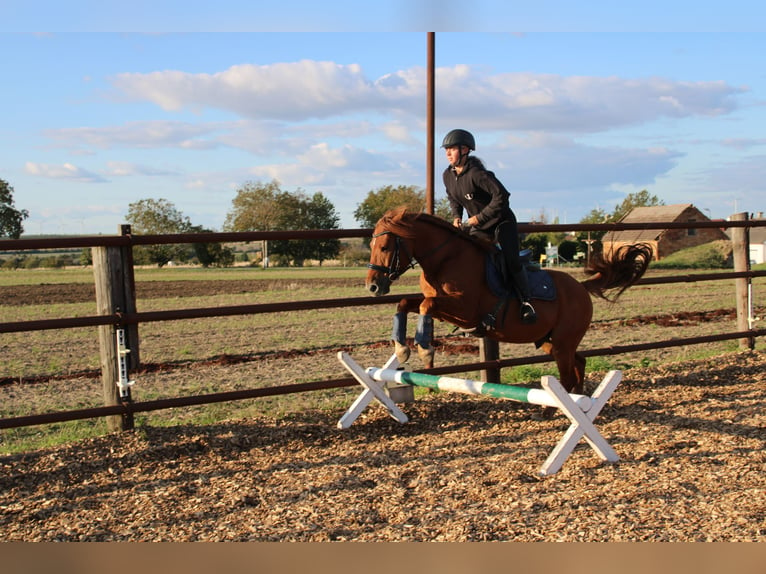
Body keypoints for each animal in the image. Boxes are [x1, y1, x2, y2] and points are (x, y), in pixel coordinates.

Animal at [368, 209, 656, 398]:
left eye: (384, 247)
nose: (373, 286)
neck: (446, 260)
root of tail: (581, 287)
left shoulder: (464, 310)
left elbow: (425, 305)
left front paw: (425, 350)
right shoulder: (446, 309)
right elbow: (406, 303)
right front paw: (401, 349)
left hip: (562, 343)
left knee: (567, 373)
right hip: (552, 341)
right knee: (579, 363)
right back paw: (576, 400)